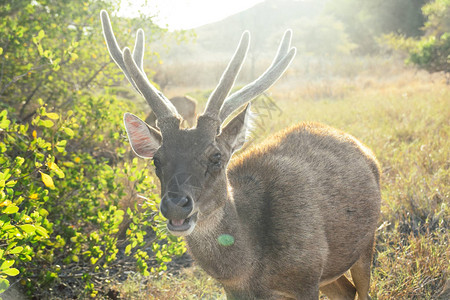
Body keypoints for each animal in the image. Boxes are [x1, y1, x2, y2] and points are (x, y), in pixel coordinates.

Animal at [101, 10, 380, 298]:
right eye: (157, 159)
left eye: (216, 157)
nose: (176, 204)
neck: (251, 272)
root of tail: (361, 146)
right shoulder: (232, 290)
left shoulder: (307, 277)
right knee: (347, 291)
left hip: (366, 242)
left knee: (362, 289)